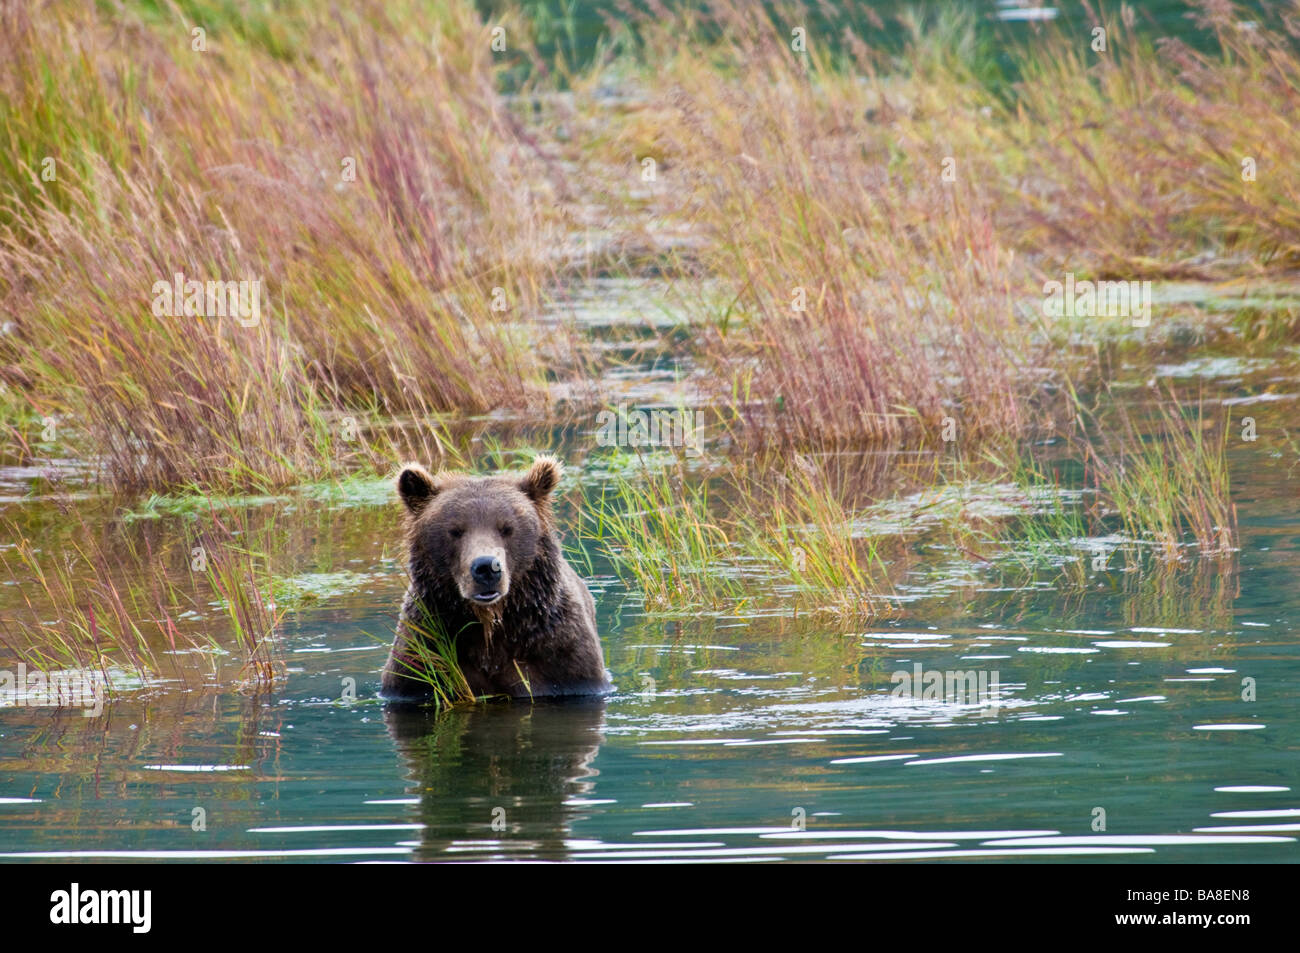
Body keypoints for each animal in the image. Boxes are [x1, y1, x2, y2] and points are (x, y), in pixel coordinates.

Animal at [379, 452, 613, 696]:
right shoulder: (421, 655)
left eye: (507, 528)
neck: (490, 624)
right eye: (455, 530)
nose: (486, 568)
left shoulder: (563, 659)